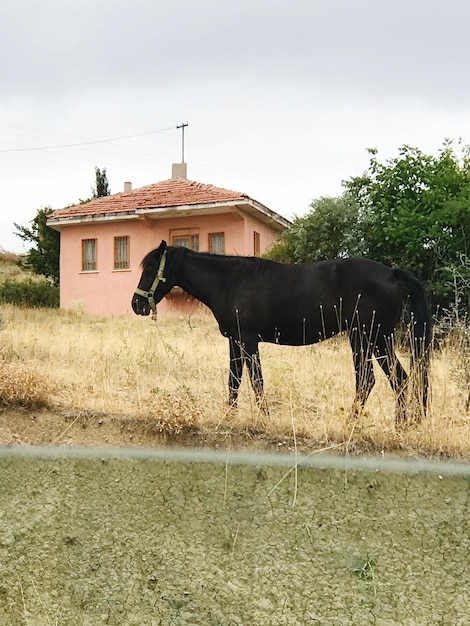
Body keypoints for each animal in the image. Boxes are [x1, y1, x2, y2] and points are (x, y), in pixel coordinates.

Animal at [131, 239, 430, 424]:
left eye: (150, 268)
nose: (136, 304)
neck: (229, 281)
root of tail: (392, 273)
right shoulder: (234, 341)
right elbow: (234, 381)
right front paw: (229, 417)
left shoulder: (249, 340)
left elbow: (256, 381)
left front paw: (264, 418)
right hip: (377, 340)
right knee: (399, 379)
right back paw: (400, 424)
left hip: (366, 338)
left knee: (369, 380)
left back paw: (354, 423)